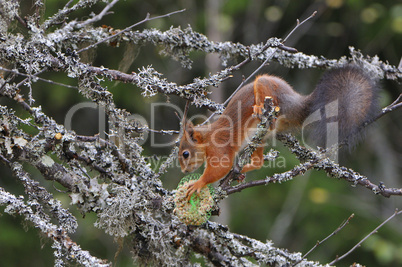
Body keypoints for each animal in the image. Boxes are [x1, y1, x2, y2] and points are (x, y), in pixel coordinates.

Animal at [179, 65, 380, 199]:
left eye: (185, 154)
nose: (183, 170)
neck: (207, 139)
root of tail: (297, 104)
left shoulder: (219, 147)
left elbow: (221, 166)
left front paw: (198, 183)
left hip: (269, 89)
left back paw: (259, 108)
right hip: (260, 138)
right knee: (259, 162)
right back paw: (243, 169)